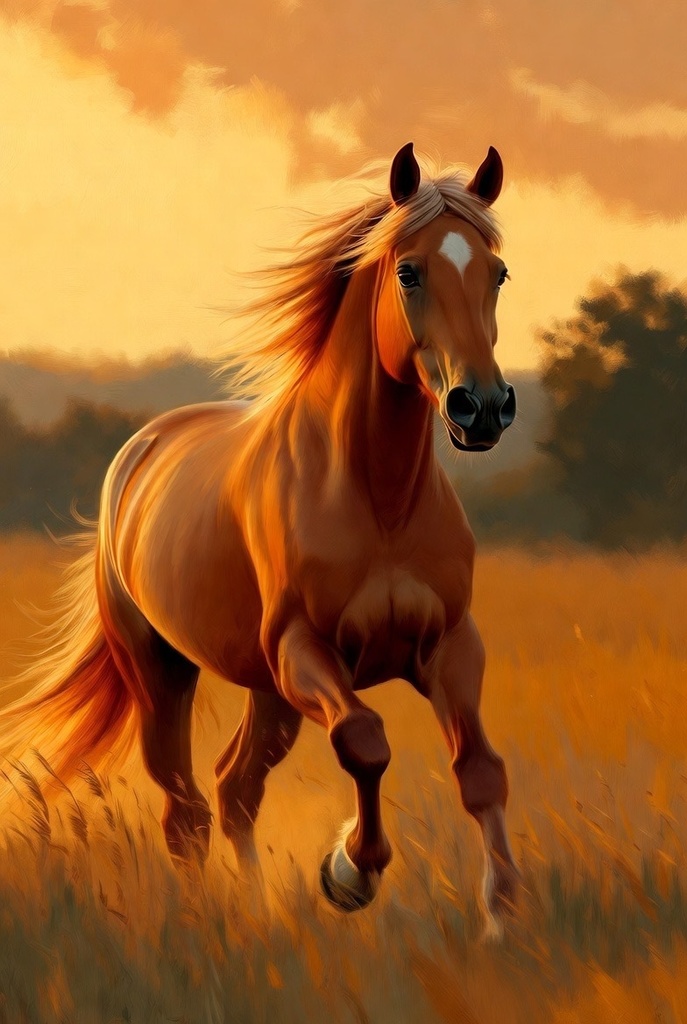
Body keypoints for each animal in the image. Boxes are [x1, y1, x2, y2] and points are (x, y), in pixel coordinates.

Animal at [0, 142, 520, 934]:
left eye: (497, 272)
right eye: (409, 271)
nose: (482, 408)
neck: (379, 499)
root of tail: (140, 450)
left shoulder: (450, 646)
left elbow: (480, 771)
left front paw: (502, 913)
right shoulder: (306, 651)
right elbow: (365, 741)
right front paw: (350, 871)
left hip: (269, 695)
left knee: (233, 788)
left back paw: (250, 906)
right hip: (163, 672)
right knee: (185, 809)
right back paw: (208, 917)